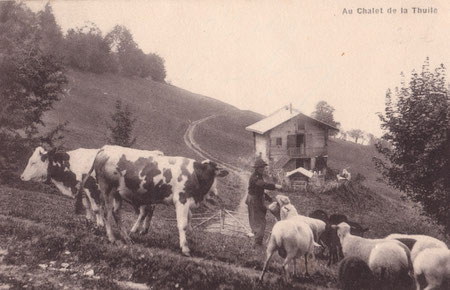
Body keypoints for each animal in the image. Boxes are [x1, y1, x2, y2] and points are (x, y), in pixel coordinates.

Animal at [87, 146, 229, 255]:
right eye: (212, 171)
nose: (215, 193)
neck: (195, 174)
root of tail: (105, 149)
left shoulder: (187, 202)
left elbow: (189, 219)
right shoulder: (181, 199)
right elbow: (182, 224)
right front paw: (185, 248)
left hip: (118, 193)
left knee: (116, 213)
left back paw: (127, 238)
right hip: (107, 189)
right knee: (107, 213)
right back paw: (112, 238)